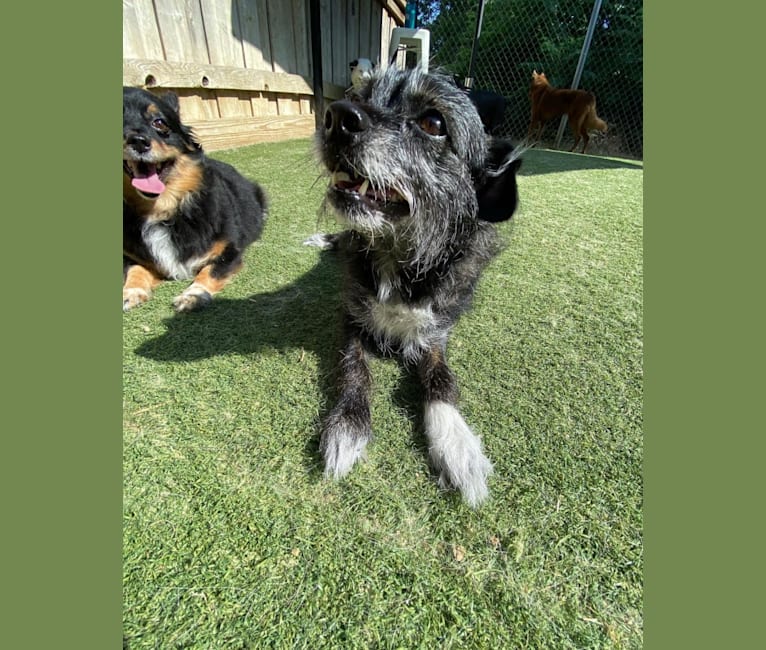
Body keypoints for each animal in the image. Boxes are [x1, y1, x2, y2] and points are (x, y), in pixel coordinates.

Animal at [123, 86, 268, 312]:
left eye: (159, 122)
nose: (138, 141)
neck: (164, 212)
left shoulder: (228, 251)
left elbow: (209, 271)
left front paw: (193, 294)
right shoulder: (131, 255)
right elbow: (135, 269)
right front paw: (131, 292)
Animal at [308, 67, 524, 506]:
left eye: (434, 123)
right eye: (363, 96)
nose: (338, 116)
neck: (398, 254)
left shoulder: (436, 333)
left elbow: (441, 379)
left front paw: (457, 444)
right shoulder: (350, 317)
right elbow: (354, 368)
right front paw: (348, 425)